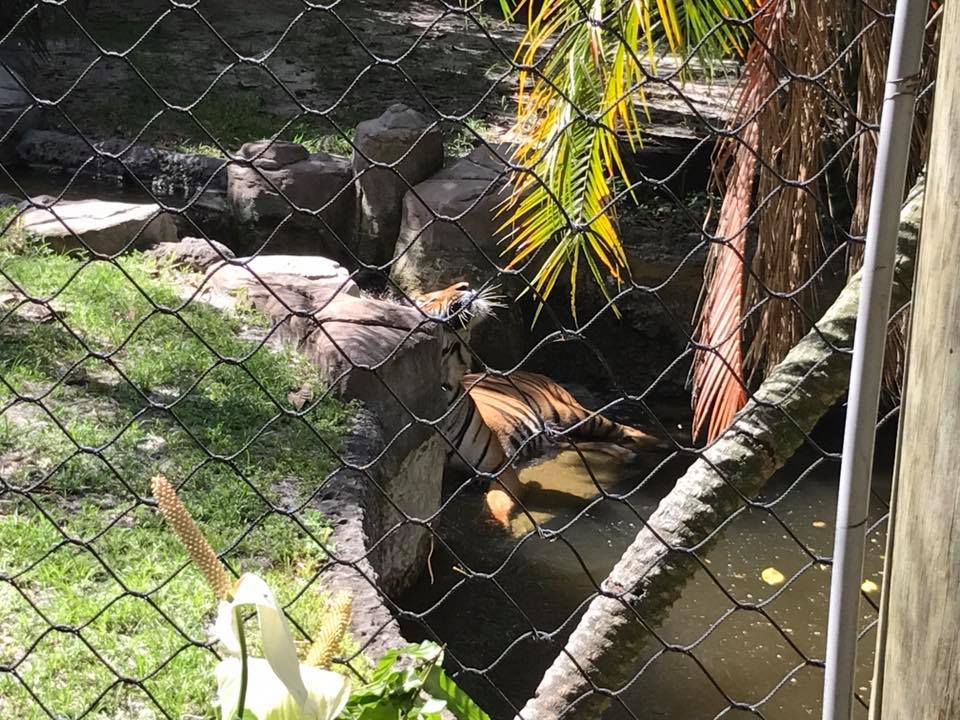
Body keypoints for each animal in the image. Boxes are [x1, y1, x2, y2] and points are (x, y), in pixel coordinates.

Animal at [412, 281, 667, 527]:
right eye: (429, 300)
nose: (464, 285)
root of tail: (535, 373)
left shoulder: (500, 470)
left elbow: (496, 502)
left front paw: (494, 525)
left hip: (573, 414)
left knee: (623, 428)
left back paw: (660, 444)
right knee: (581, 442)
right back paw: (626, 453)